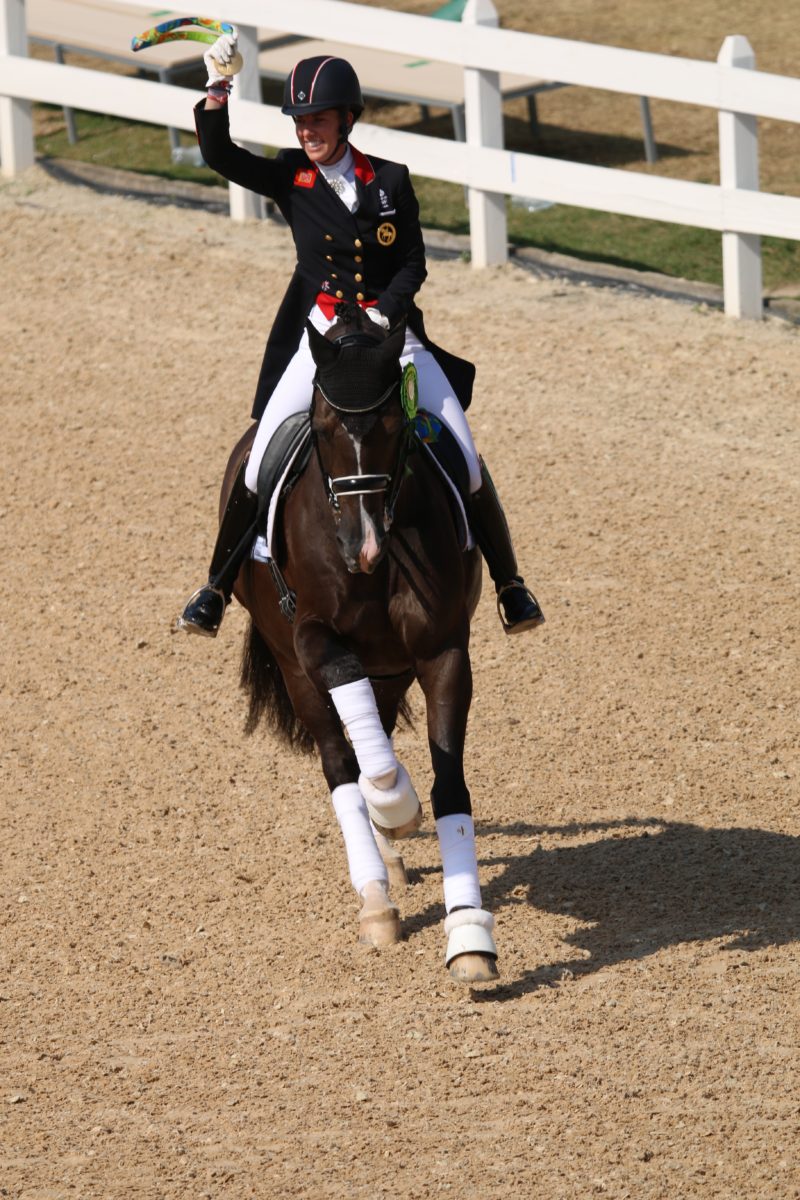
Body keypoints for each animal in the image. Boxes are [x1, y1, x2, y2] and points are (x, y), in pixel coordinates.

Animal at [224, 304, 494, 979]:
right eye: (322, 428)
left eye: (395, 426)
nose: (363, 546)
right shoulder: (312, 641)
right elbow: (361, 756)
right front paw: (392, 805)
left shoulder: (443, 651)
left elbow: (449, 785)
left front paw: (468, 935)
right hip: (297, 668)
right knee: (339, 761)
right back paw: (376, 893)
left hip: (391, 670)